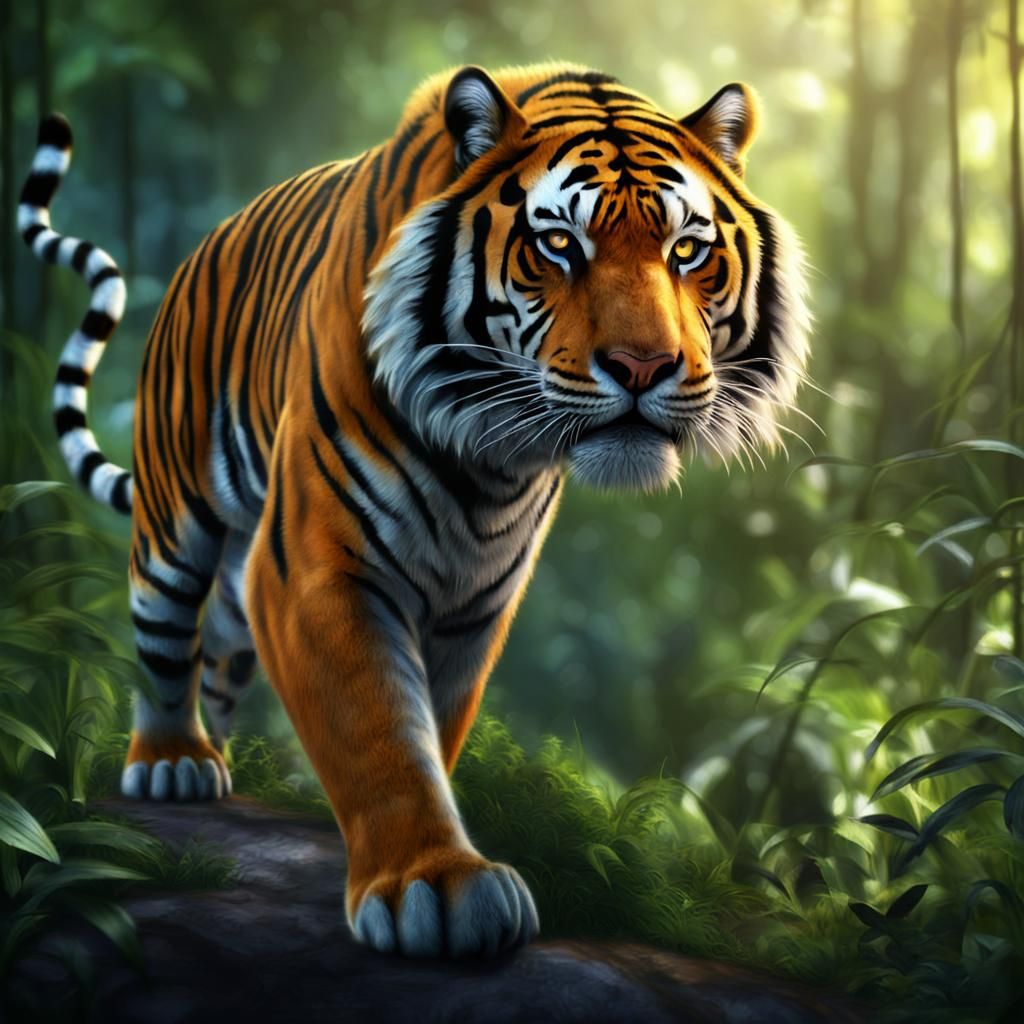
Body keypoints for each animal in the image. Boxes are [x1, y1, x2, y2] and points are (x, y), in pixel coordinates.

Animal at [18, 62, 809, 958]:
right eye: (559, 245)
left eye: (687, 250)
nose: (644, 366)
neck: (490, 459)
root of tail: (207, 243)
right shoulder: (320, 569)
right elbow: (378, 726)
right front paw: (433, 886)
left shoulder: (477, 597)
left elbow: (430, 722)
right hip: (175, 513)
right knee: (162, 634)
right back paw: (170, 760)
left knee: (220, 640)